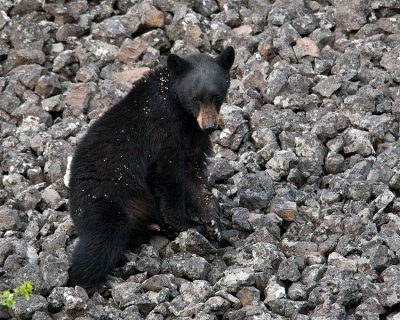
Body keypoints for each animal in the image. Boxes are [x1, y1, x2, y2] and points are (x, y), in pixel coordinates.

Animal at [67, 46, 233, 294]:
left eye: (216, 96)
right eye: (196, 98)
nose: (210, 126)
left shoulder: (194, 136)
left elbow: (193, 176)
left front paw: (213, 223)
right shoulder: (162, 129)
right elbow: (170, 177)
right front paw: (189, 226)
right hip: (100, 198)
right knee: (102, 238)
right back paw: (88, 284)